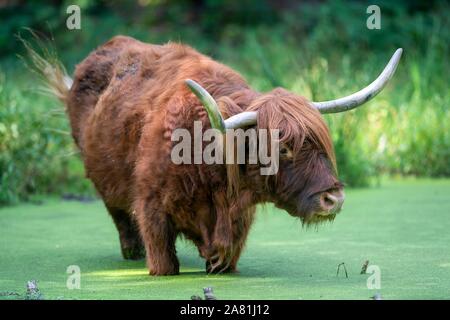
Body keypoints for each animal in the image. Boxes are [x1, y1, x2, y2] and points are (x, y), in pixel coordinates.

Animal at [29, 35, 400, 276]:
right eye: (283, 148)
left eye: (323, 145)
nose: (333, 199)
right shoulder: (152, 210)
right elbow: (162, 263)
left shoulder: (236, 225)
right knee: (120, 217)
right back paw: (131, 253)